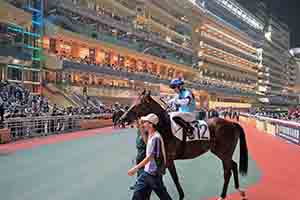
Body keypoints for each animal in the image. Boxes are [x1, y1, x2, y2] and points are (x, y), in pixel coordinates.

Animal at [119, 91, 248, 199]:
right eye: (132, 102)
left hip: (224, 153)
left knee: (227, 172)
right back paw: (239, 189)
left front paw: (181, 195)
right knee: (234, 165)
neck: (165, 127)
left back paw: (222, 195)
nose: (122, 118)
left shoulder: (168, 159)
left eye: (139, 104)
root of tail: (232, 124)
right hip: (221, 153)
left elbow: (174, 178)